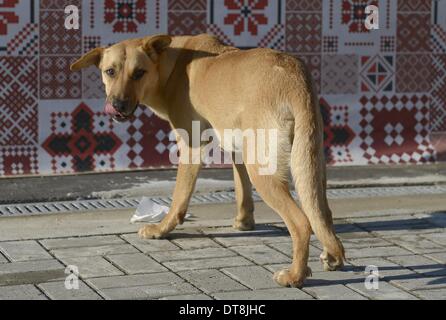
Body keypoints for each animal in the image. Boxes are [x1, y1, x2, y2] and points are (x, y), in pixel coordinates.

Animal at [72, 33, 344, 288]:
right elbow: (242, 191)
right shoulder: (237, 149)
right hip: (310, 163)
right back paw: (333, 256)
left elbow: (179, 197)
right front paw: (243, 223)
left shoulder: (191, 148)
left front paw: (161, 229)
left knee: (302, 222)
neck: (172, 66)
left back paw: (295, 275)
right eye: (110, 71)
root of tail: (294, 77)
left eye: (139, 73)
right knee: (322, 213)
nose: (117, 105)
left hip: (265, 172)